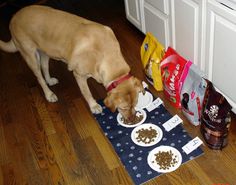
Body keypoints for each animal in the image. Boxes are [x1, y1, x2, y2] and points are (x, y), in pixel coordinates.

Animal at [0, 4, 145, 121]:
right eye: (124, 108)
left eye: (135, 104)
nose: (132, 119)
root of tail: (14, 17)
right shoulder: (79, 75)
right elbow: (86, 92)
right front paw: (94, 106)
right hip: (30, 55)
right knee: (39, 77)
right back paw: (49, 94)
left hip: (46, 51)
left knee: (44, 67)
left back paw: (50, 80)